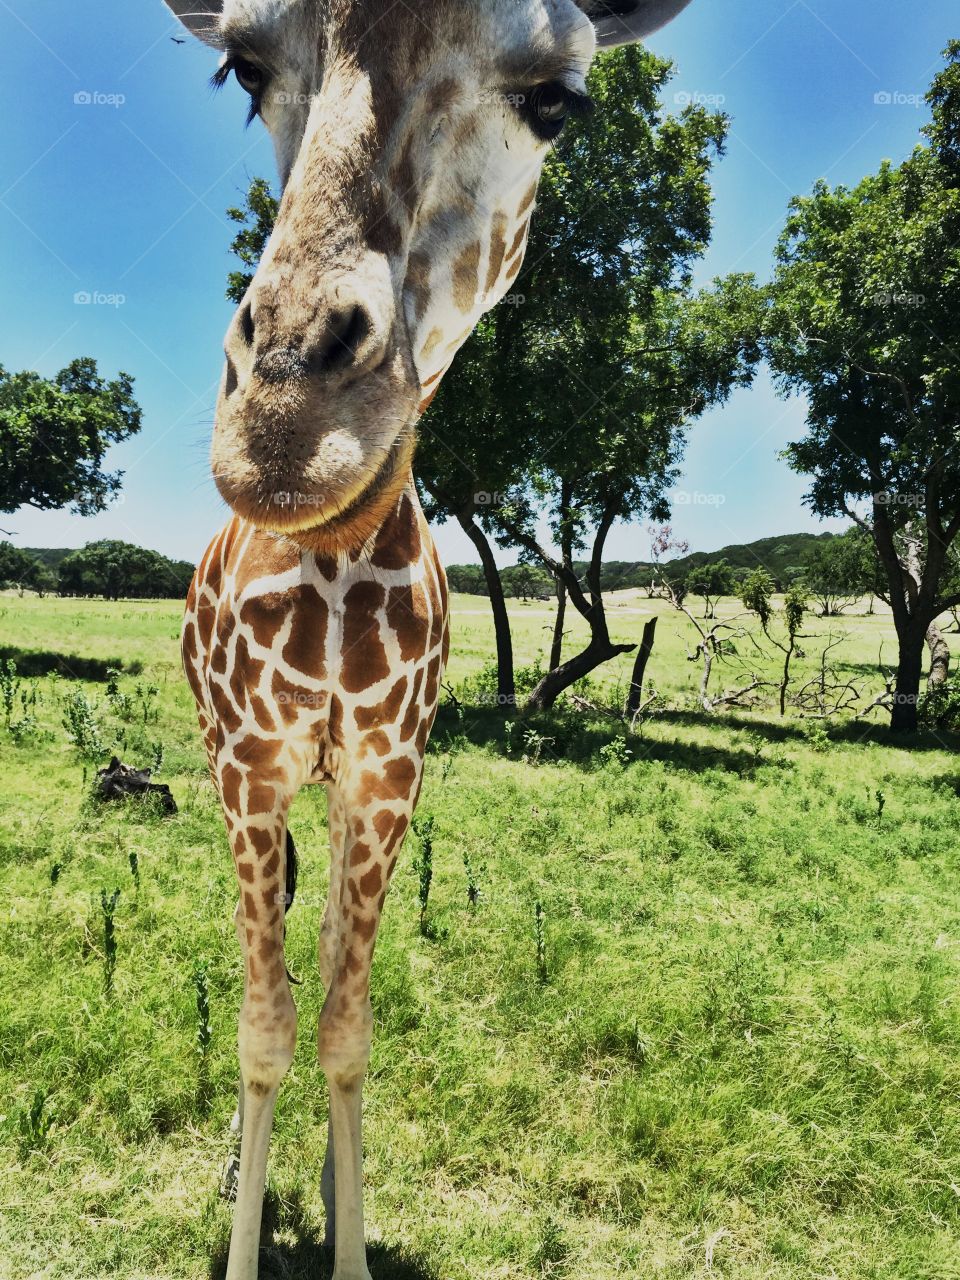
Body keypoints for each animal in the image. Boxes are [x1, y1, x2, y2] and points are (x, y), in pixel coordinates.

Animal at [166, 2, 694, 1277]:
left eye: (558, 99)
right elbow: (263, 1023)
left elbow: (346, 1022)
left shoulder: (387, 771)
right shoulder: (250, 768)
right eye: (241, 67)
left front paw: (348, 1229)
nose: (290, 422)